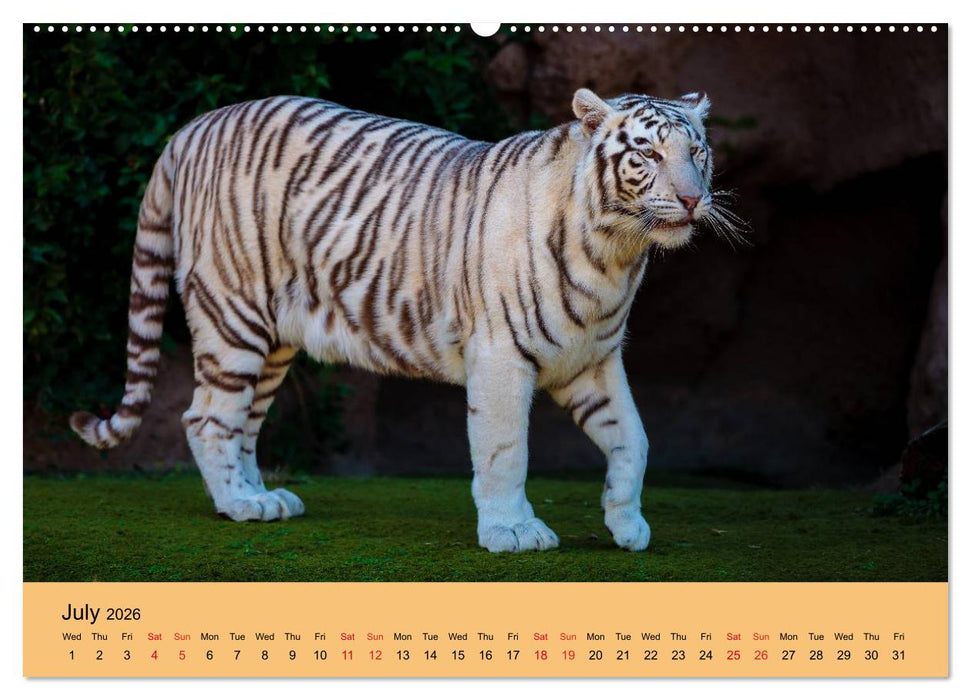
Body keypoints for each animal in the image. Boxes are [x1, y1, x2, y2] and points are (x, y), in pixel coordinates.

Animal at [70, 87, 739, 553]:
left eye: (697, 151)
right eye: (647, 152)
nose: (691, 198)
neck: (615, 253)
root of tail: (190, 128)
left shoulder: (593, 359)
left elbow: (634, 439)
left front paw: (627, 524)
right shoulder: (501, 356)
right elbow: (505, 450)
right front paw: (512, 532)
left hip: (273, 339)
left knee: (242, 422)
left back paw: (259, 496)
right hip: (234, 315)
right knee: (206, 417)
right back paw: (239, 505)